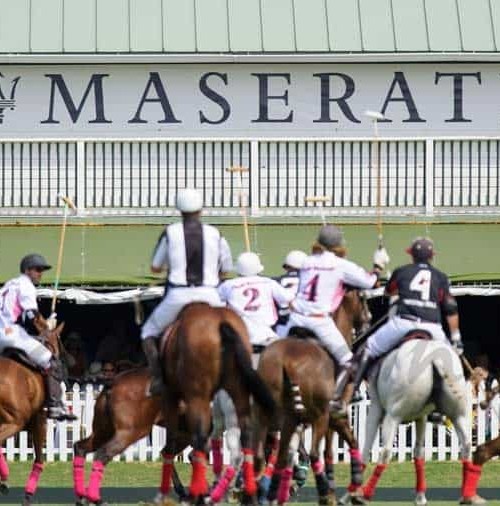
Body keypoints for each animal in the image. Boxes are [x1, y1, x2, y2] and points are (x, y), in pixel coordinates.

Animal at [254, 288, 372, 506]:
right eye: (363, 298)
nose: (367, 322)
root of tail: (286, 362)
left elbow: (328, 452)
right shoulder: (336, 417)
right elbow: (345, 446)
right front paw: (352, 490)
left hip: (274, 417)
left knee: (269, 453)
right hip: (318, 417)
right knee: (312, 453)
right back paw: (321, 492)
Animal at [354, 338, 482, 504]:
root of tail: (434, 358)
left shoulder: (375, 407)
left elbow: (365, 449)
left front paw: (353, 491)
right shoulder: (421, 417)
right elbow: (419, 452)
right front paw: (420, 496)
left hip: (393, 415)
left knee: (386, 451)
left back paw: (365, 495)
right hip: (458, 415)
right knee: (466, 446)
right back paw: (467, 495)